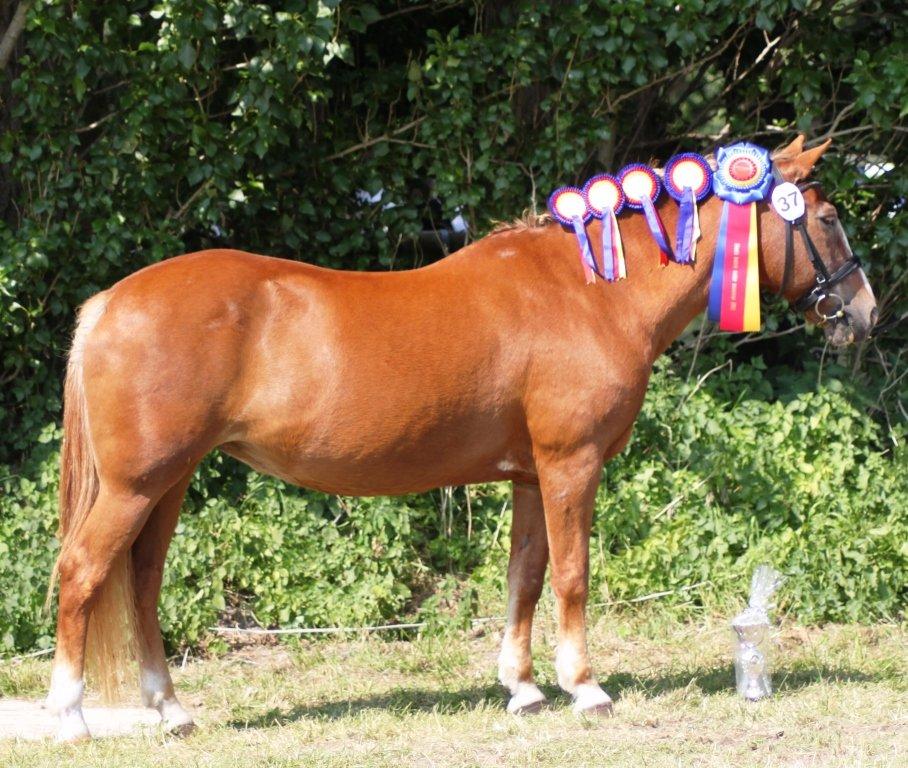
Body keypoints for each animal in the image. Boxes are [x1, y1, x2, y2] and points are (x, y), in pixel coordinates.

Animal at [45, 135, 876, 741]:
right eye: (828, 218)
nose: (864, 313)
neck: (591, 294)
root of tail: (109, 303)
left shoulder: (531, 475)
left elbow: (525, 578)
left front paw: (523, 689)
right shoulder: (571, 466)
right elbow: (572, 575)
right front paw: (586, 688)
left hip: (168, 482)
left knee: (141, 585)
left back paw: (172, 712)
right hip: (136, 485)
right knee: (83, 573)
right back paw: (69, 718)